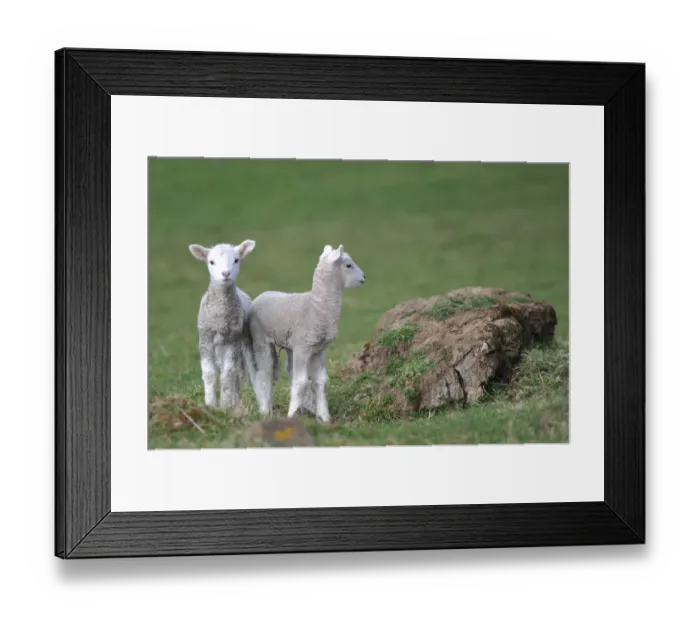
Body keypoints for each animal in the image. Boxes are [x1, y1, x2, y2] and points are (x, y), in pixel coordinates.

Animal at [188, 240, 257, 411]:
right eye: (211, 262)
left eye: (236, 260)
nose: (226, 274)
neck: (220, 317)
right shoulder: (205, 338)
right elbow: (209, 373)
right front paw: (211, 404)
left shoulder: (232, 340)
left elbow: (229, 373)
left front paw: (225, 405)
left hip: (244, 340)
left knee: (245, 370)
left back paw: (241, 398)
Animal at [249, 243, 365, 422]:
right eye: (348, 265)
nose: (363, 277)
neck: (317, 305)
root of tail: (261, 295)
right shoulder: (303, 348)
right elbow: (301, 382)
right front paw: (291, 415)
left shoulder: (319, 350)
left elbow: (321, 381)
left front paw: (325, 417)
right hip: (261, 339)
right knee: (264, 373)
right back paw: (265, 410)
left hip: (290, 346)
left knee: (288, 370)